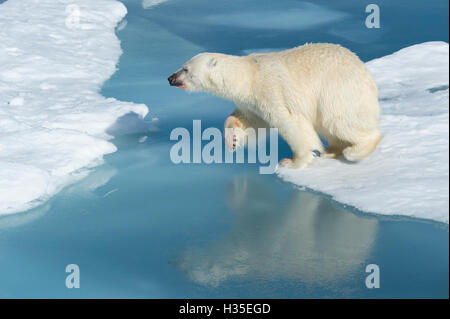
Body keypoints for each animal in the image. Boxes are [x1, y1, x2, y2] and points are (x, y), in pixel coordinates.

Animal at [169, 44, 384, 170]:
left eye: (185, 69)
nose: (170, 78)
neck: (249, 76)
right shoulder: (251, 102)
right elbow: (250, 121)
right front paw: (233, 140)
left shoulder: (271, 89)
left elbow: (289, 122)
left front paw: (292, 162)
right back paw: (331, 150)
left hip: (339, 91)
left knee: (340, 121)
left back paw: (355, 150)